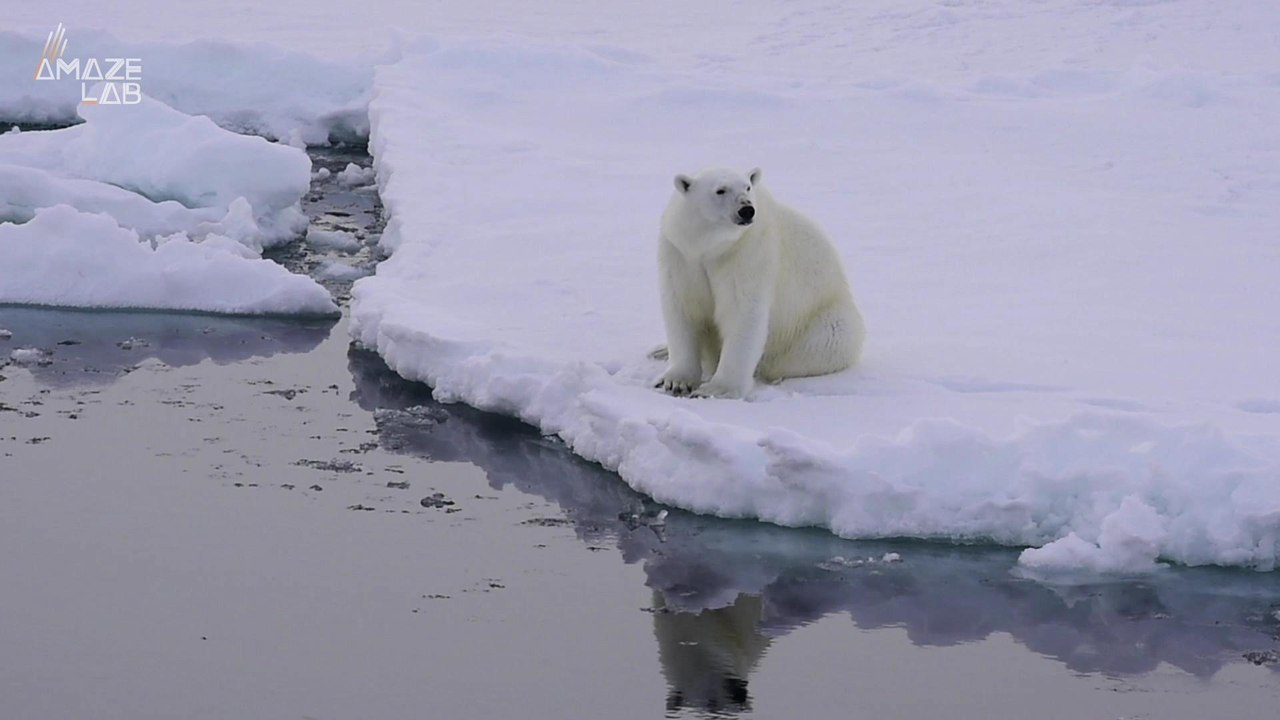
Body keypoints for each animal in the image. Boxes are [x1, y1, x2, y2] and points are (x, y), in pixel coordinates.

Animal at [654, 167, 864, 399]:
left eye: (747, 187)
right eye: (720, 190)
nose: (747, 210)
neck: (711, 248)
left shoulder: (748, 253)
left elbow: (742, 312)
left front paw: (715, 389)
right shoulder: (680, 253)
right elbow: (683, 308)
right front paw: (675, 381)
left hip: (823, 323)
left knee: (820, 344)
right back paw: (660, 350)